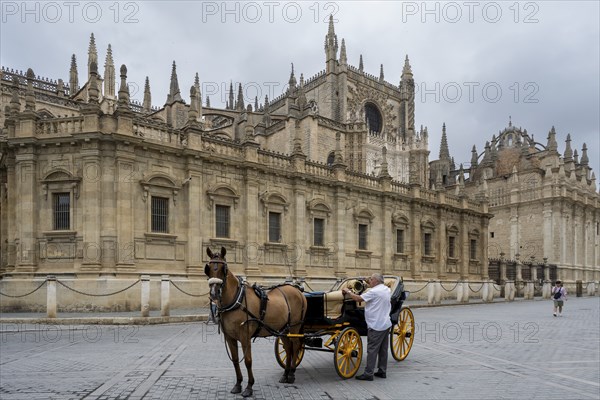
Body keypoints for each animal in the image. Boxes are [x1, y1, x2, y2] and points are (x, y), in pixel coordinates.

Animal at [206, 247, 310, 396]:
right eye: (208, 268)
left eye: (223, 268)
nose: (214, 293)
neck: (237, 300)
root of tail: (298, 291)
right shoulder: (230, 337)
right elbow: (235, 360)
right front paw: (238, 384)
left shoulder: (245, 337)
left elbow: (248, 361)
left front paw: (249, 386)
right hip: (283, 330)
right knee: (288, 348)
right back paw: (285, 374)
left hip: (294, 327)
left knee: (295, 346)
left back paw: (291, 374)